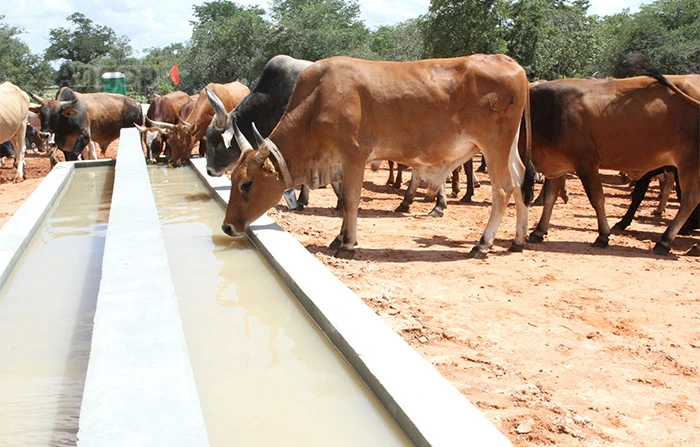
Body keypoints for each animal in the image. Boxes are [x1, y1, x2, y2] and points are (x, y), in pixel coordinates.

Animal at [221, 55, 532, 260]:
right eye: (233, 179)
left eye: (246, 184)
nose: (227, 226)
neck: (317, 100)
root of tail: (510, 63)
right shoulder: (340, 163)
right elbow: (344, 203)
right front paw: (339, 238)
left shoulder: (355, 156)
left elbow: (350, 201)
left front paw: (348, 244)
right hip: (508, 148)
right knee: (520, 183)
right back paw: (518, 240)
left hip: (494, 145)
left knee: (503, 189)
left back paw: (482, 244)